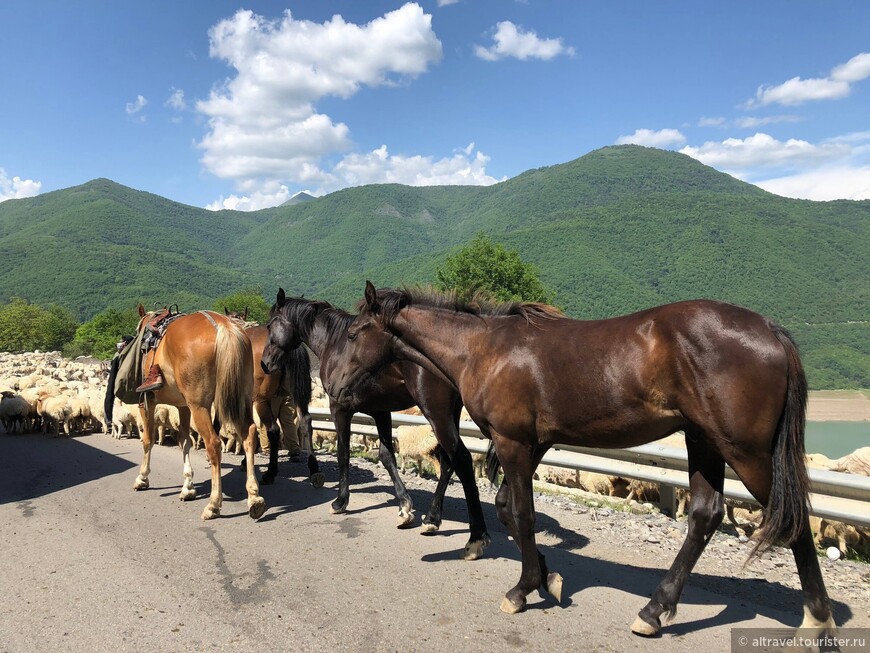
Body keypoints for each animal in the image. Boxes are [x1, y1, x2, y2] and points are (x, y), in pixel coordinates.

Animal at [133, 304, 266, 520]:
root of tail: (223, 326)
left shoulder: (147, 402)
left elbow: (148, 440)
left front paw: (142, 478)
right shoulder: (183, 406)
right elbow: (184, 441)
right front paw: (188, 487)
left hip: (200, 406)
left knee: (213, 443)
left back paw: (213, 504)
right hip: (242, 399)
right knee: (249, 435)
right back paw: (254, 498)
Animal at [258, 290, 494, 560]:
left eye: (269, 325)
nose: (265, 363)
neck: (335, 344)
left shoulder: (340, 409)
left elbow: (343, 454)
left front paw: (340, 501)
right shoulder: (380, 412)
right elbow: (386, 456)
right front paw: (404, 507)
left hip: (437, 413)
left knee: (457, 459)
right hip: (450, 414)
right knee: (448, 462)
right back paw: (432, 519)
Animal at [326, 282, 836, 636]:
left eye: (354, 332)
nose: (333, 388)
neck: (483, 350)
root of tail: (770, 330)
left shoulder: (514, 444)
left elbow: (524, 515)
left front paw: (522, 588)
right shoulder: (533, 446)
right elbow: (509, 511)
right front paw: (546, 578)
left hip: (746, 454)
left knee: (792, 521)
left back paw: (817, 619)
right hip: (704, 442)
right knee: (706, 517)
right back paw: (654, 610)